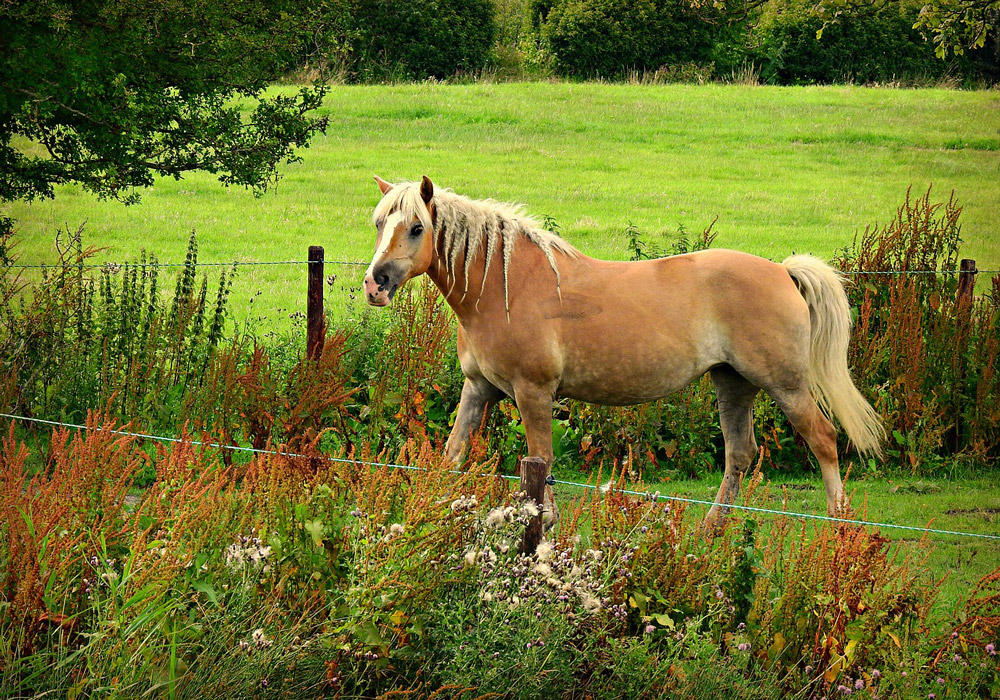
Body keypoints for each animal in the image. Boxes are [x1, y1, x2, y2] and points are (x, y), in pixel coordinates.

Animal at [366, 175, 884, 524]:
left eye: (416, 228)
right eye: (378, 224)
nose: (376, 284)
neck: (503, 286)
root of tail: (782, 271)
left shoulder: (534, 393)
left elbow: (542, 463)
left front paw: (544, 528)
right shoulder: (478, 389)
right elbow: (451, 456)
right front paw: (432, 513)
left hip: (786, 385)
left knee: (824, 440)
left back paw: (837, 524)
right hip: (733, 384)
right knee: (740, 454)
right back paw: (711, 532)